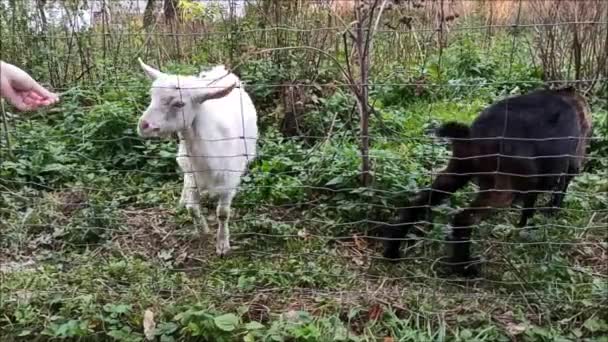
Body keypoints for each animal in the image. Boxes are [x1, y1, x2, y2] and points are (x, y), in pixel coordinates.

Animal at [137, 58, 258, 255]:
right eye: (151, 96)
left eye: (179, 104)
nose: (143, 125)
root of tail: (219, 70)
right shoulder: (192, 174)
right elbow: (192, 208)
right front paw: (203, 230)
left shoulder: (229, 179)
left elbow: (223, 213)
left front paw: (222, 244)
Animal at [384, 87, 588, 276]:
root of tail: (472, 135)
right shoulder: (570, 160)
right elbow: (559, 187)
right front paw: (547, 214)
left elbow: (531, 202)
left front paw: (525, 224)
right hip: (501, 189)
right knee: (464, 218)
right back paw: (465, 268)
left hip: (457, 170)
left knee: (417, 202)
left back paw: (392, 251)